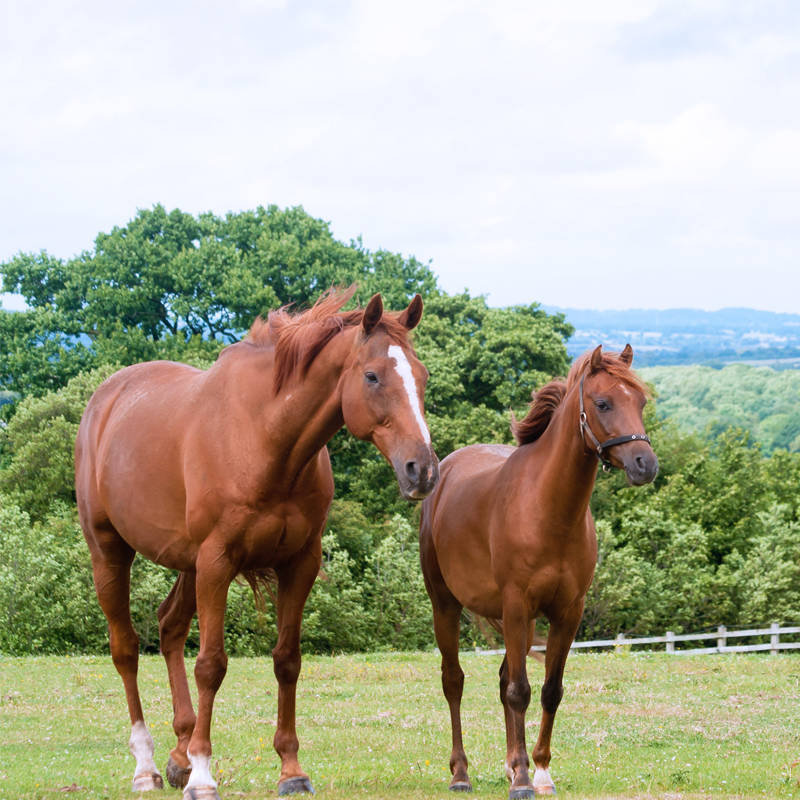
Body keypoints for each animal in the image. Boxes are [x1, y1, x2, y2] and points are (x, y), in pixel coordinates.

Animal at [75, 287, 439, 800]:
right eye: (371, 376)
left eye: (421, 376)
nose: (421, 470)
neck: (266, 438)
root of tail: (104, 400)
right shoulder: (217, 562)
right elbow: (210, 665)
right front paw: (204, 774)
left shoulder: (298, 565)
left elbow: (287, 661)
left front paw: (291, 769)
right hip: (111, 552)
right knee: (126, 649)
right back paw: (146, 766)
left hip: (187, 565)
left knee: (169, 628)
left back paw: (178, 754)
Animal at [419, 344, 658, 798]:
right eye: (603, 403)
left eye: (640, 402)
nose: (645, 464)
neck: (550, 510)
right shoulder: (516, 606)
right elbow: (519, 691)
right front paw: (524, 779)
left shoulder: (567, 613)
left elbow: (549, 690)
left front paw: (539, 770)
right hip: (446, 605)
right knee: (453, 681)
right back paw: (461, 773)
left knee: (502, 680)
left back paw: (512, 765)